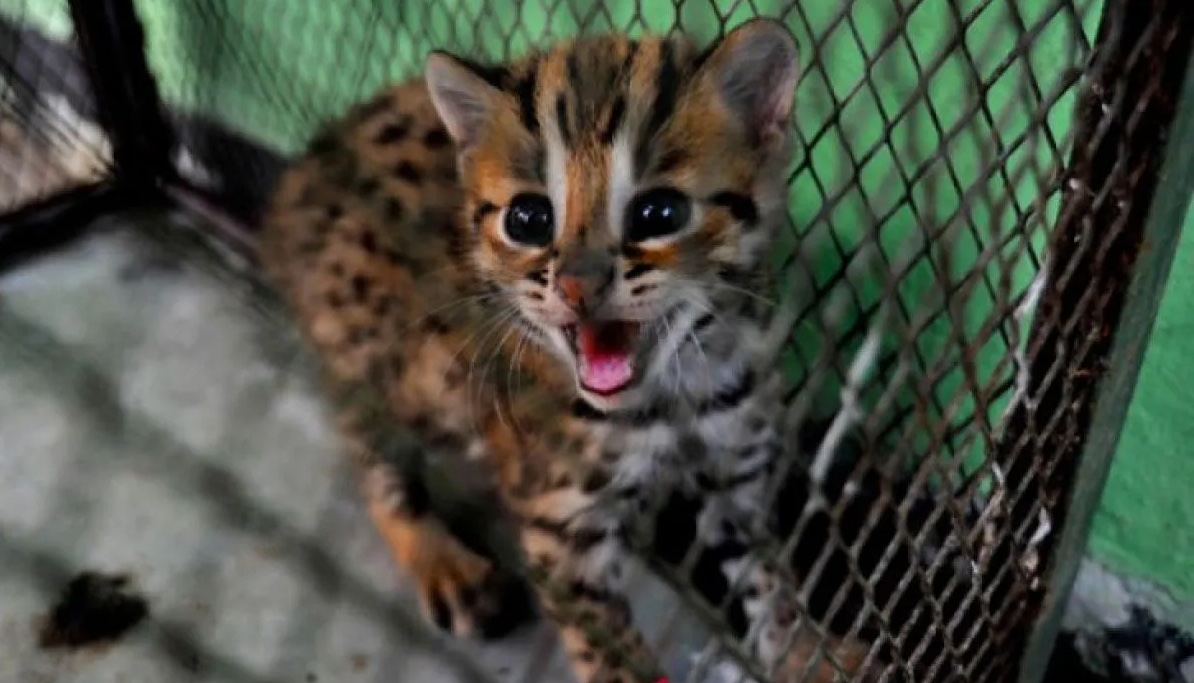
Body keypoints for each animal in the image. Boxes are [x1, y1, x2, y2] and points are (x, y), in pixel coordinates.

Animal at [259, 18, 873, 683]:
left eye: (660, 212)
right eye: (528, 219)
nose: (578, 287)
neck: (672, 392)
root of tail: (302, 173)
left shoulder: (738, 462)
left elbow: (767, 570)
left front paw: (806, 651)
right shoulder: (563, 533)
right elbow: (612, 654)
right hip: (374, 357)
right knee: (371, 456)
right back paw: (440, 559)